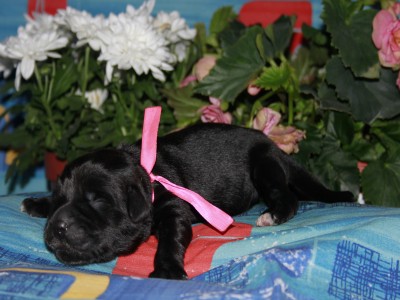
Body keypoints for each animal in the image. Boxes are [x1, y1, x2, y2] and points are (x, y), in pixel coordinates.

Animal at [21, 122, 354, 278]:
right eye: (60, 198)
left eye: (98, 201)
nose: (56, 227)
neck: (147, 175)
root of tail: (274, 146)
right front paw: (38, 203)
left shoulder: (173, 209)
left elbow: (171, 239)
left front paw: (167, 269)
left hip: (263, 165)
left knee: (287, 196)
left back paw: (272, 215)